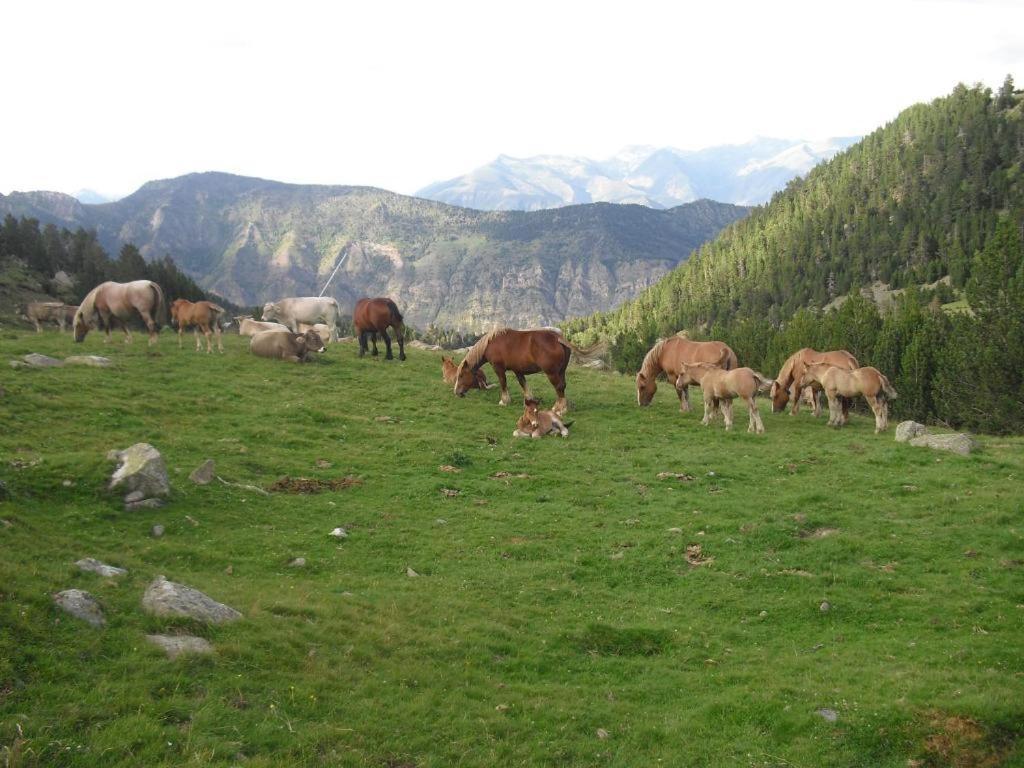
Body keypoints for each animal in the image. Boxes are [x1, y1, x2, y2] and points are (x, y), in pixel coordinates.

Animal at [454, 329, 589, 415]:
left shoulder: (499, 368)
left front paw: (504, 401)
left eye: (461, 375)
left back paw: (559, 409)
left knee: (559, 387)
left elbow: (503, 383)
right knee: (562, 386)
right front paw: (528, 402)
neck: (490, 343)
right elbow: (523, 384)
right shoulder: (518, 370)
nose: (456, 392)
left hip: (552, 373)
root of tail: (557, 338)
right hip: (561, 372)